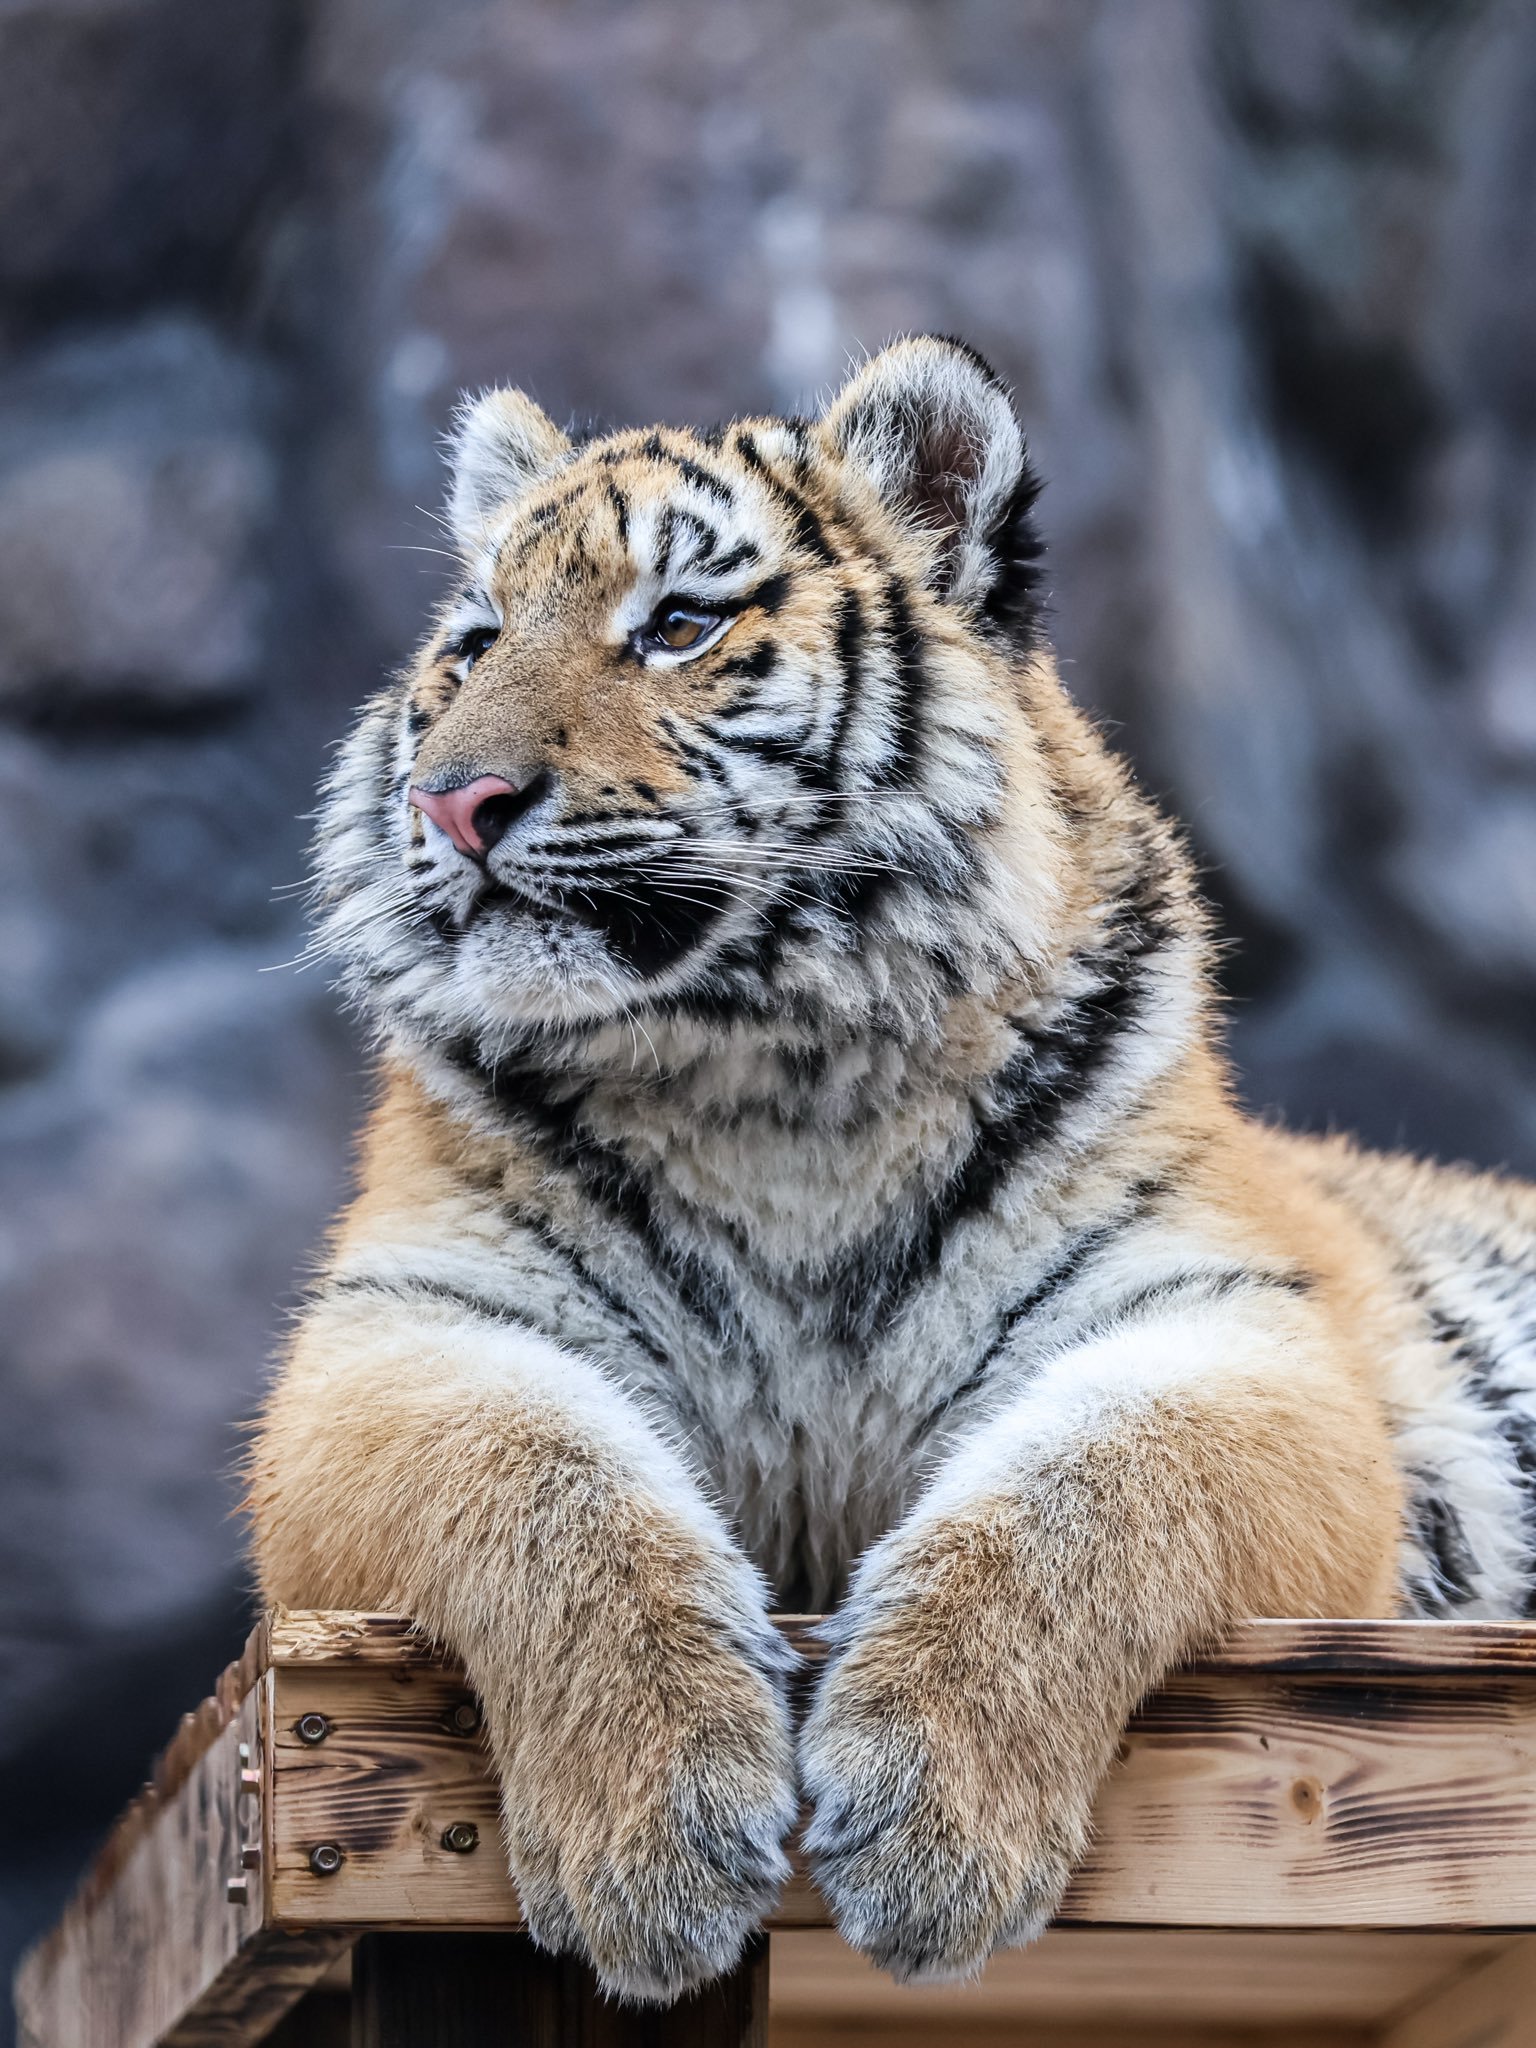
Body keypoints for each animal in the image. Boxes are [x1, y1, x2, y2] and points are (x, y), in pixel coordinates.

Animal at [249, 335, 1536, 2002]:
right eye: (471, 647)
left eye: (679, 624)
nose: (452, 804)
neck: (770, 1071)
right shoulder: (402, 1337)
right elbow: (546, 1488)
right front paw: (655, 1838)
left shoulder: (1231, 1335)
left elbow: (1082, 1496)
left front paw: (932, 1826)